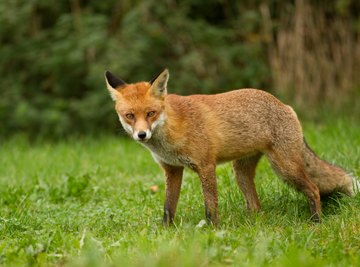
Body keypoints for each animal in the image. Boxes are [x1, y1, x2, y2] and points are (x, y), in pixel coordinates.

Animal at [104, 69, 358, 226]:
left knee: (314, 189)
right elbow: (168, 207)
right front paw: (166, 232)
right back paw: (253, 226)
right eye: (129, 116)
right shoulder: (172, 169)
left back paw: (316, 222)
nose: (142, 134)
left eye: (150, 113)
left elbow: (210, 206)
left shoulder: (206, 165)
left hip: (285, 167)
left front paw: (213, 231)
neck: (170, 134)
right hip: (241, 172)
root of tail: (284, 105)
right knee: (255, 205)